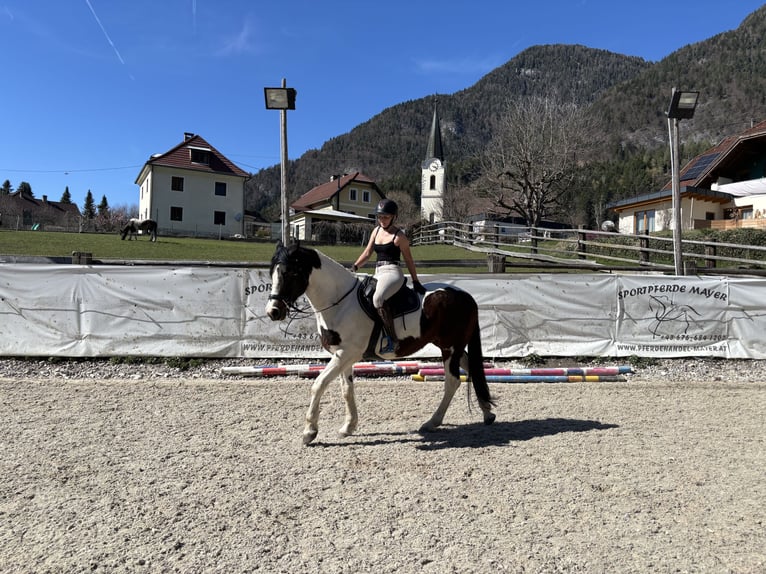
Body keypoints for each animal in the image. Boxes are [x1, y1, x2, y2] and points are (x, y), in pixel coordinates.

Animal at [265, 240, 496, 445]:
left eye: (291, 273)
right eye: (272, 273)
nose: (273, 311)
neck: (340, 302)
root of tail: (466, 296)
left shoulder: (346, 354)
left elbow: (318, 384)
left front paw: (309, 432)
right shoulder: (343, 356)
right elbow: (346, 389)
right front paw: (348, 427)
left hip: (450, 348)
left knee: (452, 381)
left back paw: (433, 422)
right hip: (451, 346)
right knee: (473, 369)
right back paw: (487, 413)